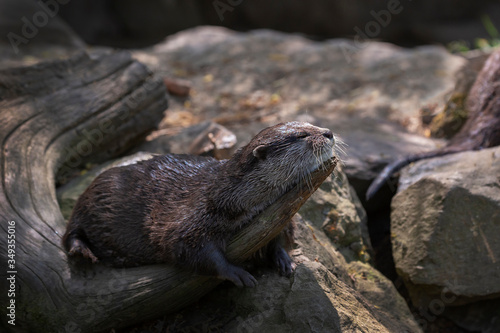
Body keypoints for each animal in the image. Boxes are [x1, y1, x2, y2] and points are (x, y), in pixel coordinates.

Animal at [61, 120, 336, 286]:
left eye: (311, 124)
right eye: (302, 135)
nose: (329, 132)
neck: (231, 195)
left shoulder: (276, 216)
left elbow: (278, 235)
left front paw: (284, 259)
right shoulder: (194, 217)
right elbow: (190, 250)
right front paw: (237, 273)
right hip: (94, 195)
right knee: (70, 231)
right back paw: (82, 250)